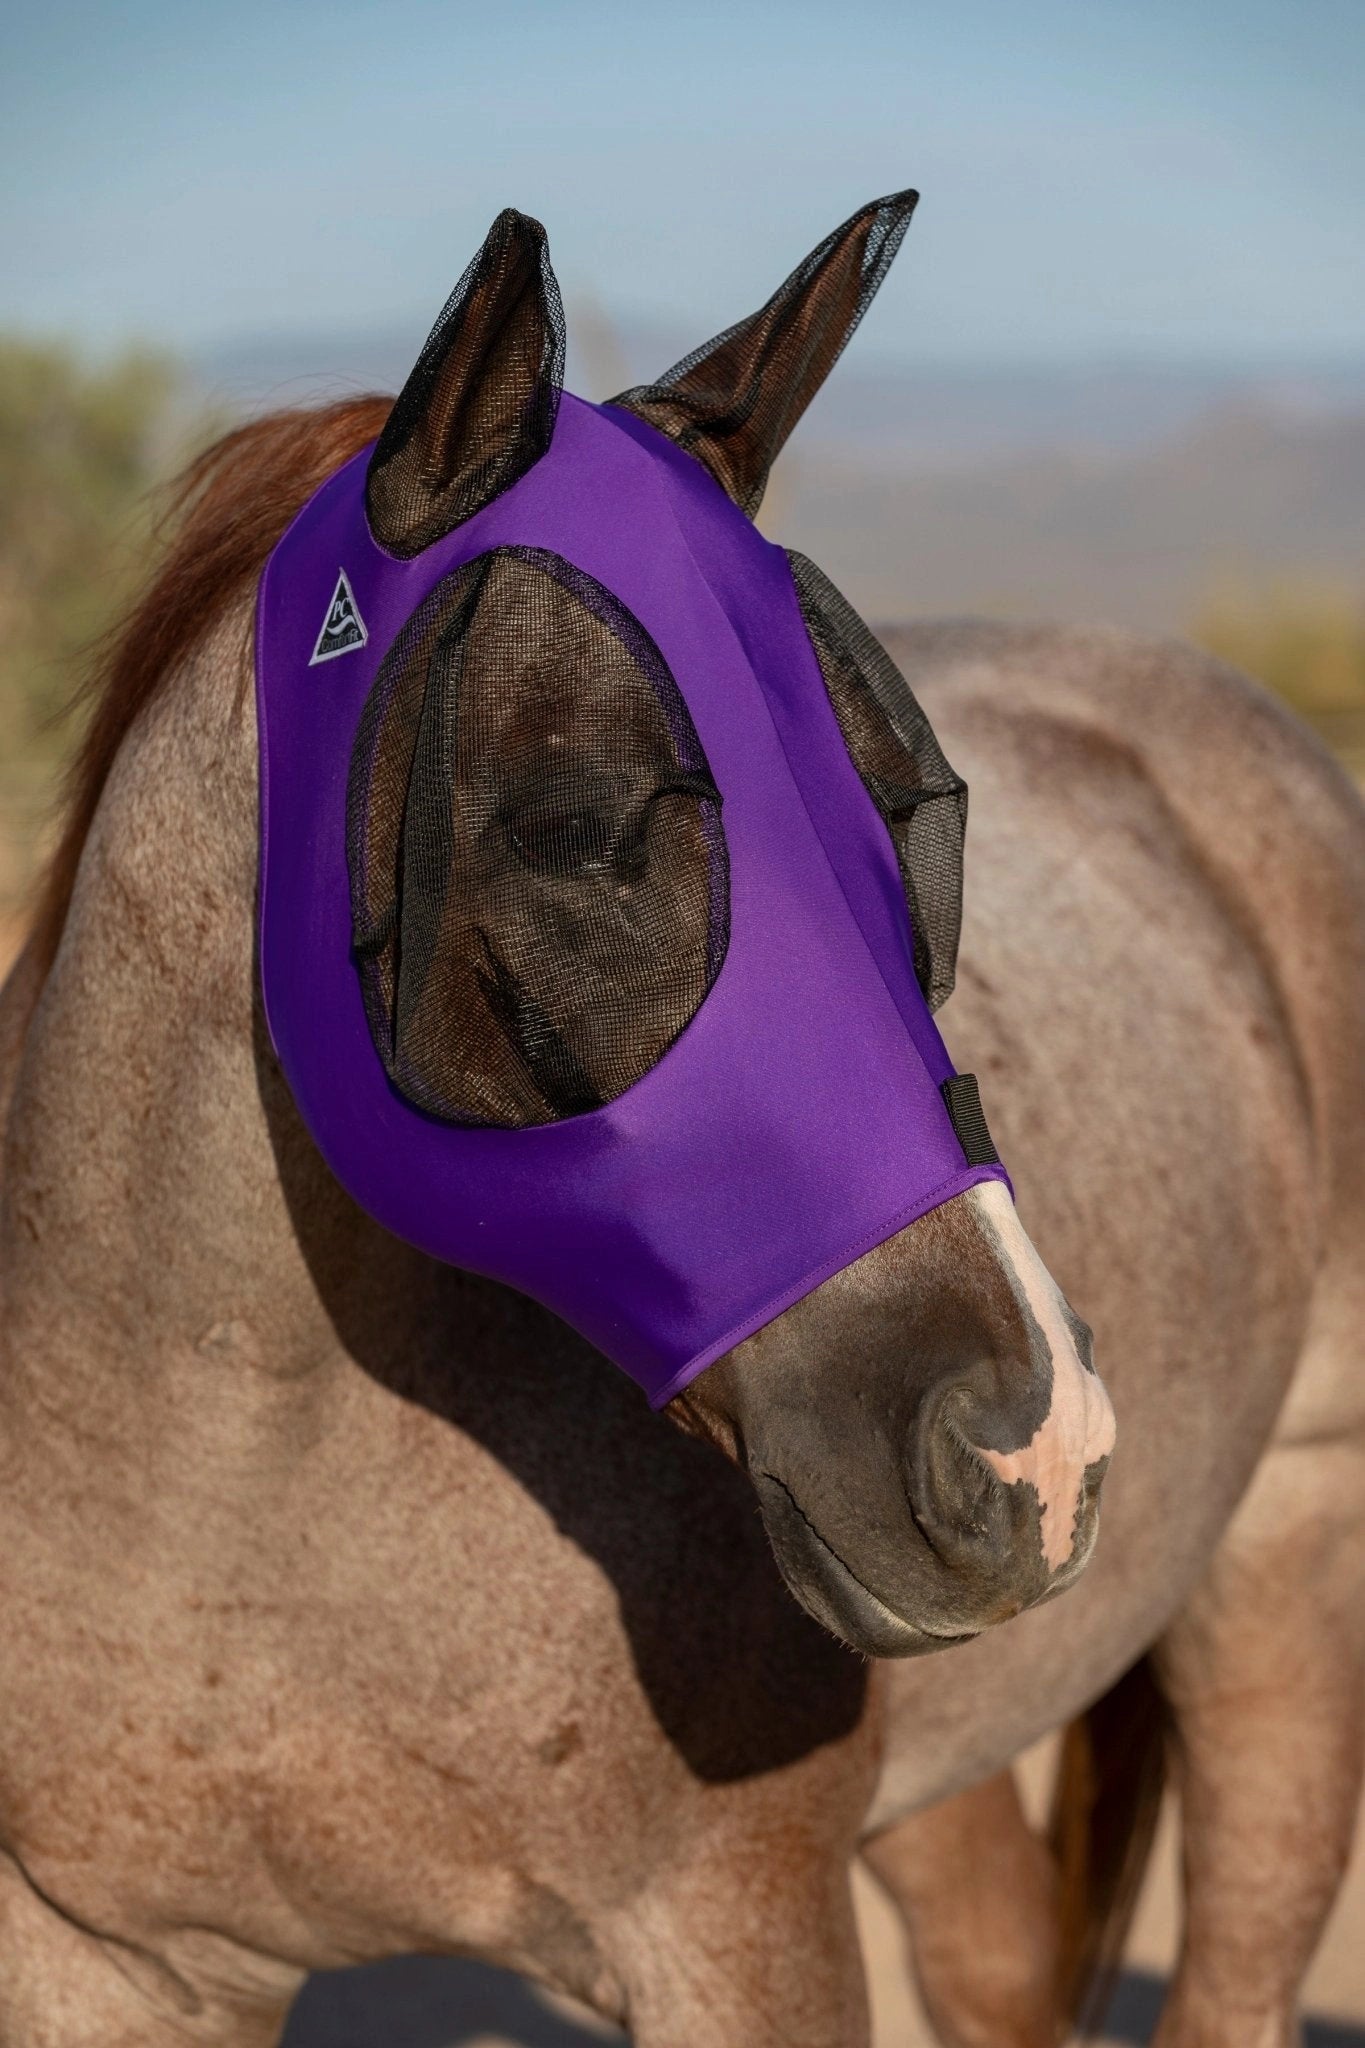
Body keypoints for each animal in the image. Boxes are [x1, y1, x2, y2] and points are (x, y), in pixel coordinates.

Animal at [0, 197, 1361, 2048]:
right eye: (580, 825)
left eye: (919, 819)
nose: (1038, 1443)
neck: (225, 1506)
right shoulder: (106, 1956)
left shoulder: (740, 1934)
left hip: (1287, 1568)